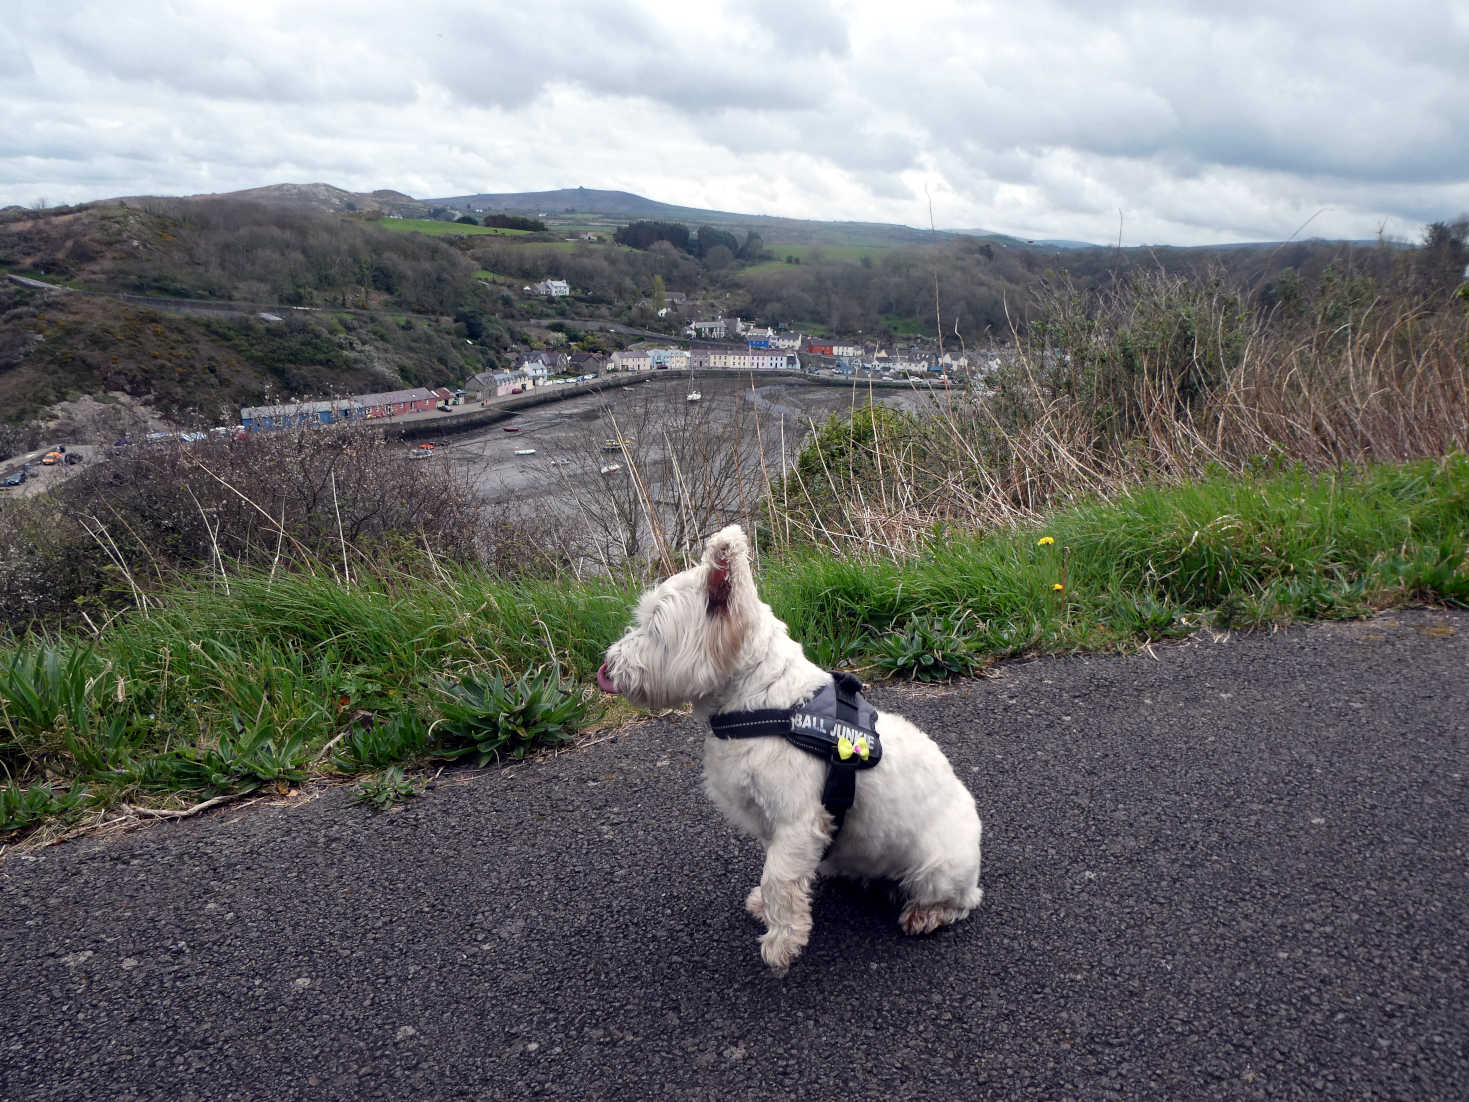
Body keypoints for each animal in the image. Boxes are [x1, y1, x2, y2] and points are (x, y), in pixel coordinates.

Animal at [596, 526, 987, 975]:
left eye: (656, 630)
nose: (607, 666)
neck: (761, 702)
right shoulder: (776, 825)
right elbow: (778, 874)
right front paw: (769, 911)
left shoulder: (796, 820)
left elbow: (778, 879)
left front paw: (782, 941)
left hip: (938, 865)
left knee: (960, 899)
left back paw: (927, 913)